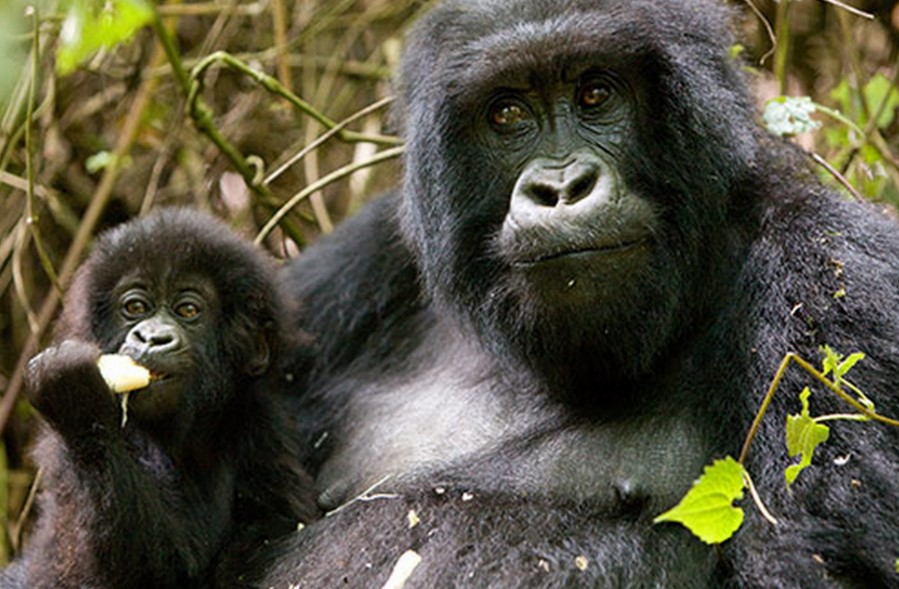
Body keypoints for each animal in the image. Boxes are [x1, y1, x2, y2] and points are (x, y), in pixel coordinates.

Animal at [1, 209, 318, 584]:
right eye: (136, 307)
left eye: (188, 311)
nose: (151, 338)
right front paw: (77, 400)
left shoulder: (260, 427)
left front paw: (77, 399)